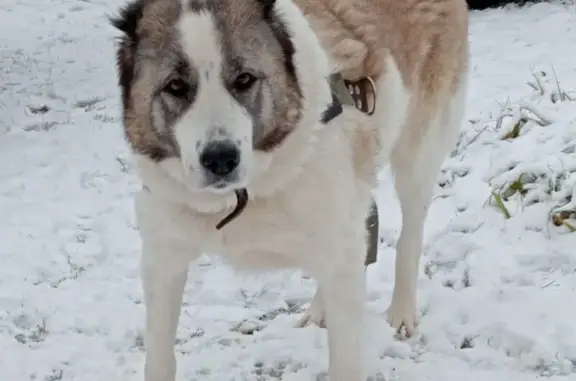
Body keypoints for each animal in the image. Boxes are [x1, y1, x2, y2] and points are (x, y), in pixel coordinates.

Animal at [111, 0, 468, 378]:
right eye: (176, 86)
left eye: (244, 79)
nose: (220, 159)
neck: (240, 198)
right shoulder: (163, 257)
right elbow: (159, 357)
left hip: (419, 152)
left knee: (409, 235)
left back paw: (401, 310)